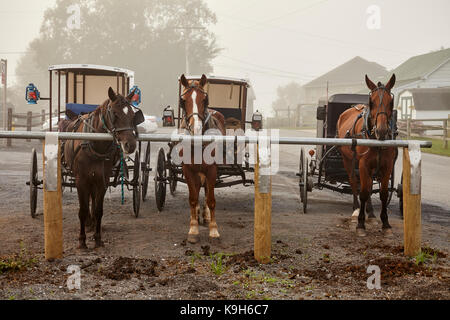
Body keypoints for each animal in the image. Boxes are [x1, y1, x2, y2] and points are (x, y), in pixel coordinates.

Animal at [59, 88, 143, 250]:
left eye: (132, 115)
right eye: (115, 114)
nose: (130, 145)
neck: (96, 145)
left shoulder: (101, 179)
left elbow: (98, 210)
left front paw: (97, 238)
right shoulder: (81, 180)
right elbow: (82, 210)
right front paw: (82, 240)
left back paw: (91, 223)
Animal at [178, 74, 225, 244]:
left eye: (205, 100)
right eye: (183, 100)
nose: (196, 129)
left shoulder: (211, 169)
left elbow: (211, 199)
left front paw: (214, 230)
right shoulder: (188, 169)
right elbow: (193, 198)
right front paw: (193, 229)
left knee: (205, 189)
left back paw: (205, 215)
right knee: (198, 188)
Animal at [338, 74, 398, 236]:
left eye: (391, 102)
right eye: (371, 101)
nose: (382, 131)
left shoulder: (387, 166)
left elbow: (383, 193)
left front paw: (386, 224)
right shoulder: (363, 164)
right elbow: (363, 192)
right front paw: (360, 224)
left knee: (369, 185)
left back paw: (370, 213)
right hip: (348, 160)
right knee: (354, 181)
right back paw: (356, 209)